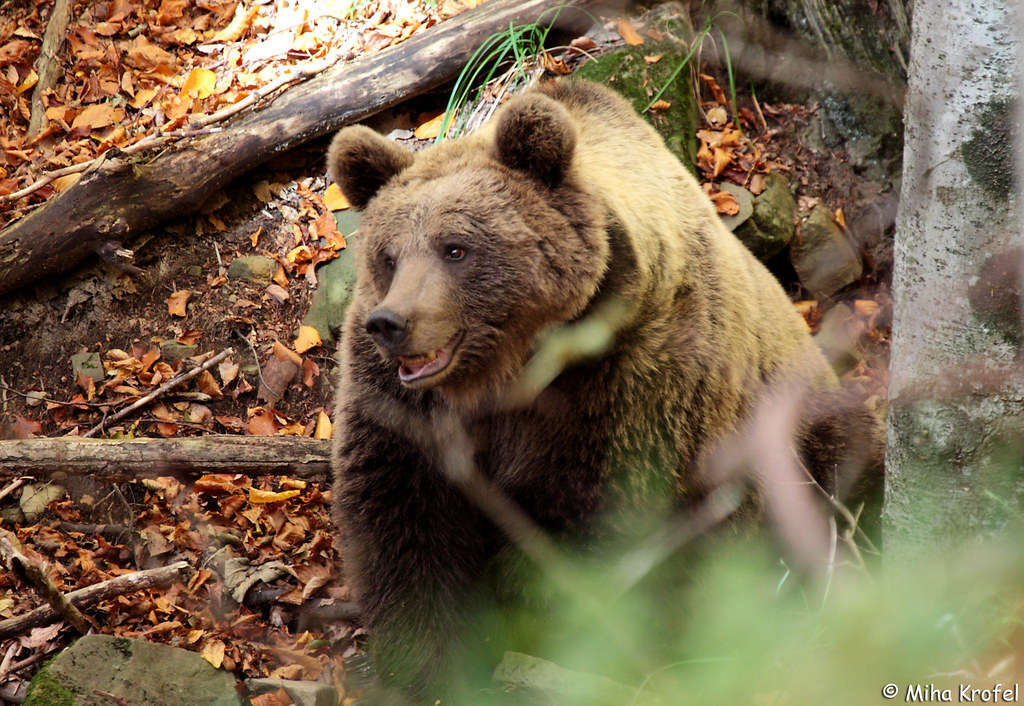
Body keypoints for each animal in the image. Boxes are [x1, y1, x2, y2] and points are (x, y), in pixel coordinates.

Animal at [327, 78, 880, 704]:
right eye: (388, 255)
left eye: (456, 248)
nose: (392, 323)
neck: (507, 372)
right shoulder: (404, 409)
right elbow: (405, 519)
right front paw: (430, 665)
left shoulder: (626, 389)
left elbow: (584, 534)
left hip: (796, 424)